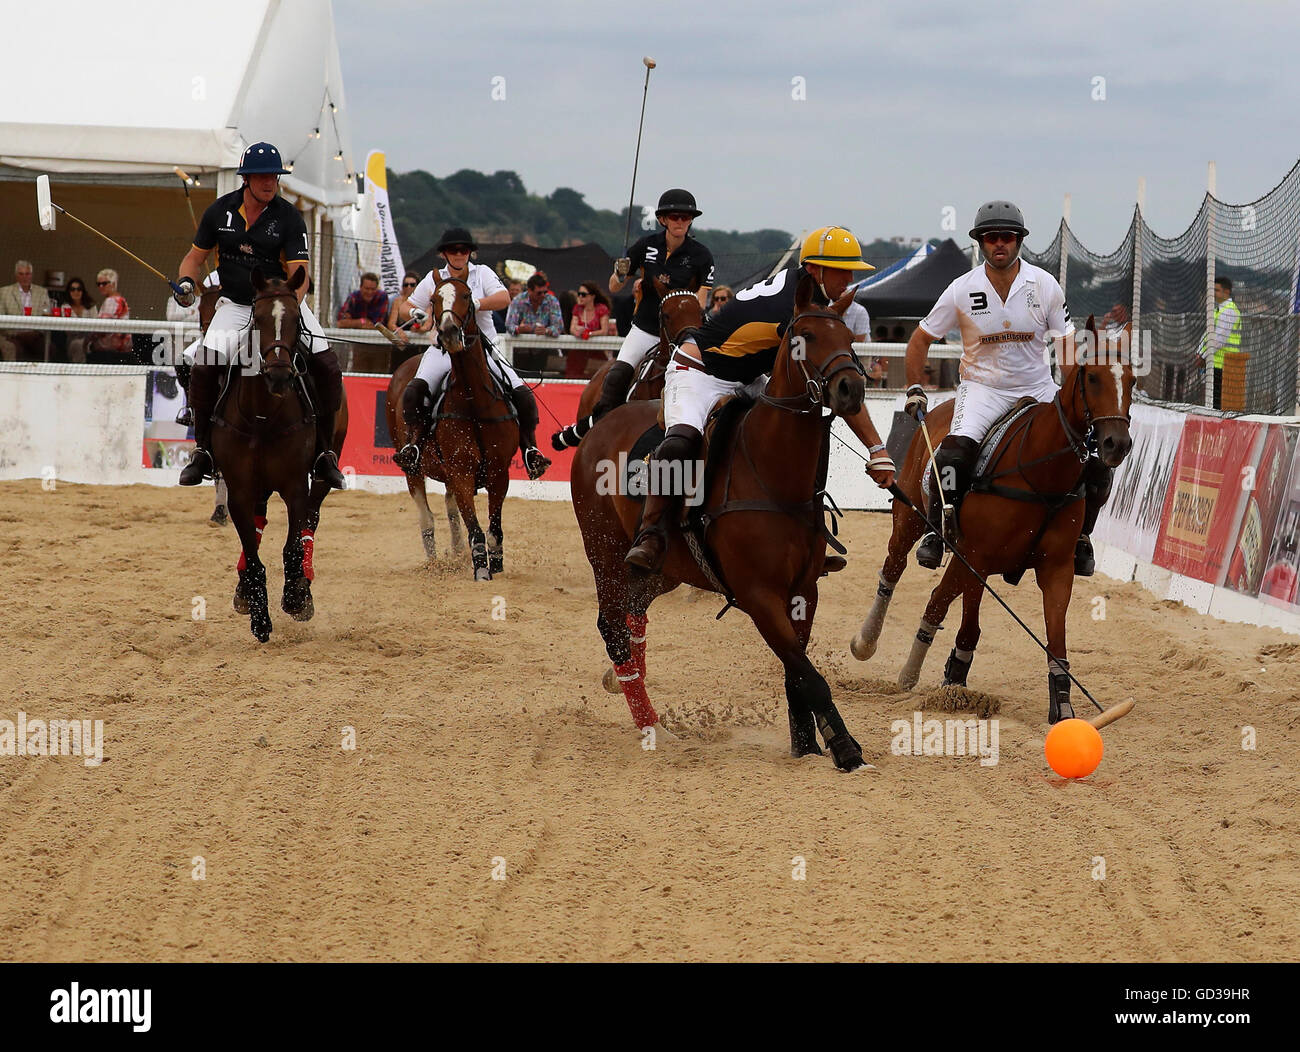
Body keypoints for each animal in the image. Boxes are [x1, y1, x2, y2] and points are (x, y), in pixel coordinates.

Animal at [215, 265, 353, 639]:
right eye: (259, 318)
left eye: (294, 319)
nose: (278, 375)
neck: (263, 416)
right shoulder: (239, 489)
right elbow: (252, 547)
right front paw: (258, 613)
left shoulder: (294, 486)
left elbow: (292, 544)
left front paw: (295, 596)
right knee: (259, 522)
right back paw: (244, 590)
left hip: (323, 469)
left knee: (312, 519)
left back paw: (304, 583)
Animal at [382, 274, 514, 579]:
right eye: (433, 300)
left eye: (467, 296)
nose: (450, 334)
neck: (475, 402)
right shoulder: (461, 471)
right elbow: (475, 529)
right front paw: (481, 571)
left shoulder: (499, 472)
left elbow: (494, 528)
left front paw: (497, 565)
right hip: (413, 468)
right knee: (427, 518)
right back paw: (434, 563)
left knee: (450, 510)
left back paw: (456, 553)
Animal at [572, 270, 868, 769]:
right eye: (805, 338)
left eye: (850, 338)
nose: (852, 389)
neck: (773, 474)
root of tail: (601, 424)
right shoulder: (758, 594)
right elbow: (806, 672)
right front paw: (846, 749)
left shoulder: (803, 591)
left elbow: (796, 670)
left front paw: (807, 746)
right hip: (604, 552)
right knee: (612, 626)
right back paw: (650, 724)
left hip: (666, 570)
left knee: (634, 612)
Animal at [847, 313, 1133, 723]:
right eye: (1091, 376)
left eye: (1133, 380)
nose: (1116, 444)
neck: (1042, 473)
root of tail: (943, 405)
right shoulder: (977, 558)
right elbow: (954, 616)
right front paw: (937, 681)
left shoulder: (1055, 567)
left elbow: (1055, 637)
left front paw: (1063, 705)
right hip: (912, 520)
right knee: (895, 569)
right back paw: (868, 642)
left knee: (948, 602)